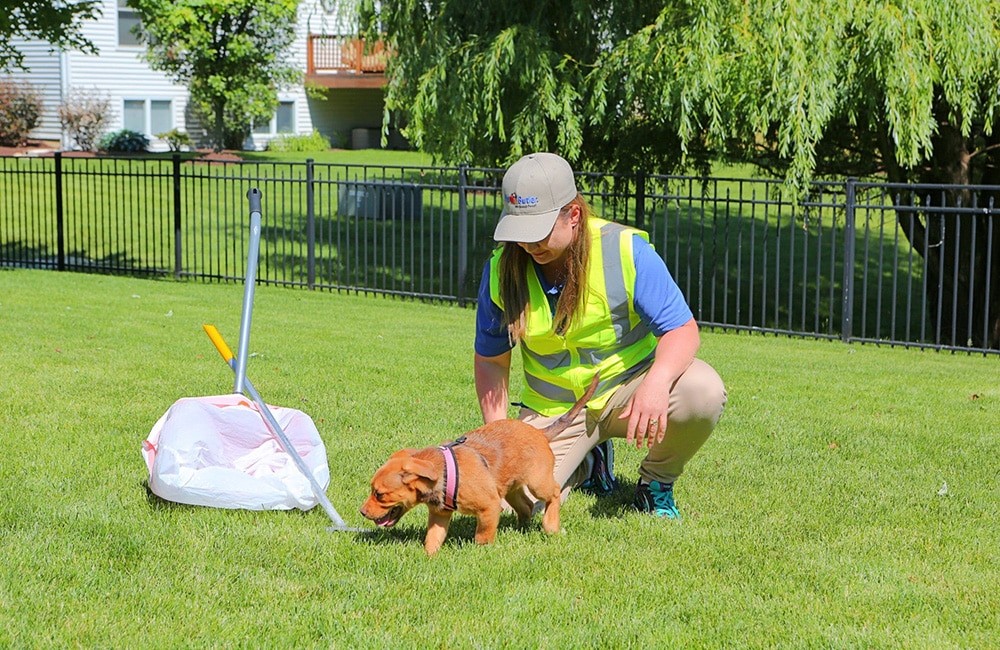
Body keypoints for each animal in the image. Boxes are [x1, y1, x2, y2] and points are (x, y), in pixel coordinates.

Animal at [360, 374, 596, 552]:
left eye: (379, 494)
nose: (362, 512)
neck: (444, 474)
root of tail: (540, 432)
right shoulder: (439, 514)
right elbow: (433, 538)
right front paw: (429, 557)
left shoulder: (489, 507)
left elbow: (483, 536)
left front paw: (481, 553)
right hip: (509, 488)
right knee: (527, 506)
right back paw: (521, 528)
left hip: (537, 482)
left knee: (553, 492)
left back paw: (551, 526)